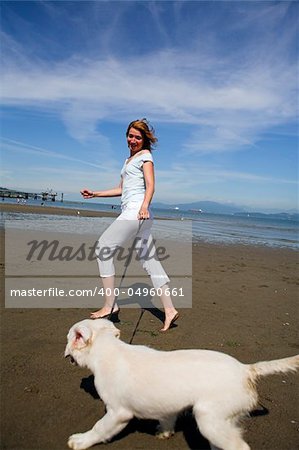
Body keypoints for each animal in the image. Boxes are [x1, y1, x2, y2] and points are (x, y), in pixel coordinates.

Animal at [65, 320, 299, 450]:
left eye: (68, 339)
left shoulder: (117, 413)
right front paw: (164, 432)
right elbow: (168, 419)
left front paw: (80, 441)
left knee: (239, 446)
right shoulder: (168, 407)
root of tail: (246, 370)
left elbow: (99, 428)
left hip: (209, 419)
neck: (109, 350)